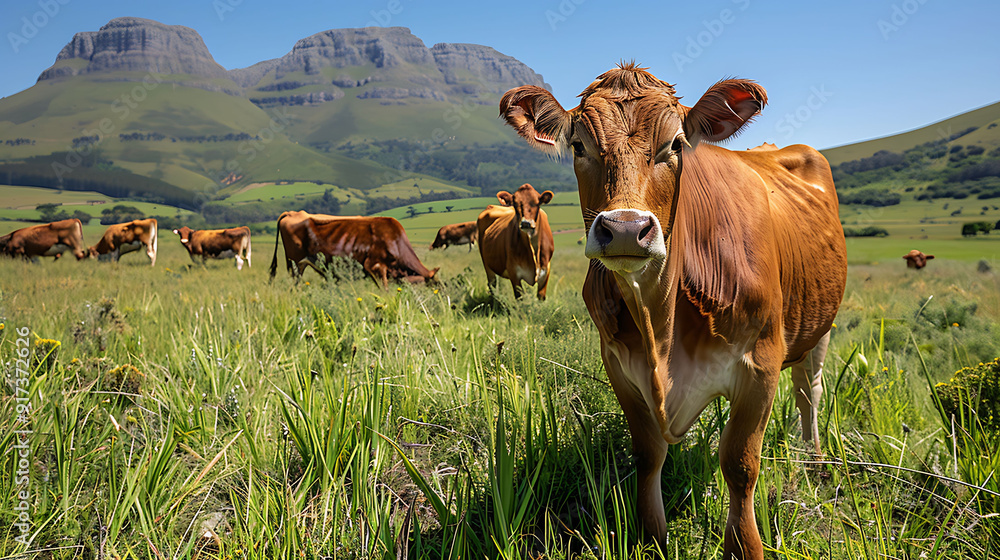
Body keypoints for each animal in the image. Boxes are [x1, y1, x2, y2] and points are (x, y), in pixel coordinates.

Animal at [500, 63, 847, 559]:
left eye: (676, 145)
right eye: (579, 145)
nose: (625, 228)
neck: (659, 323)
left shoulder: (761, 364)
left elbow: (740, 464)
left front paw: (745, 545)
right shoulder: (619, 364)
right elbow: (648, 455)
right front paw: (653, 536)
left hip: (819, 326)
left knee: (809, 392)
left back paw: (814, 461)